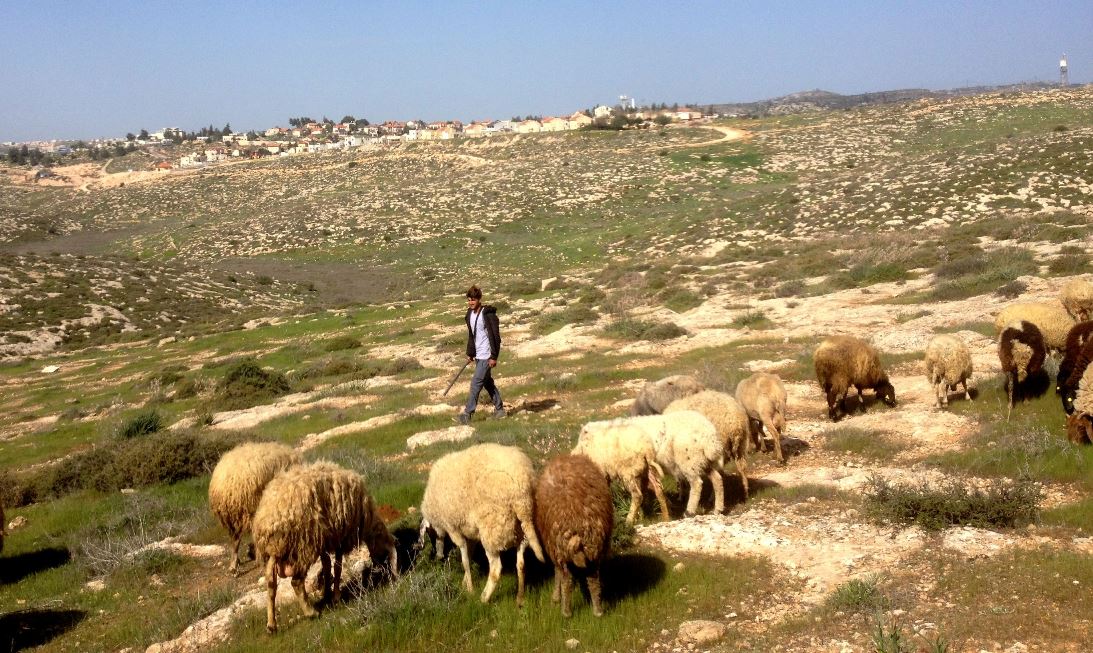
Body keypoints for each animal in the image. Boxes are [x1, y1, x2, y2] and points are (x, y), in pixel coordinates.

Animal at [205, 439, 297, 573]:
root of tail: (227, 484)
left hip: (231, 515)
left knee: (234, 538)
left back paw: (234, 564)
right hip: (250, 509)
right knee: (243, 537)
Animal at [415, 439, 544, 603]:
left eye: (430, 533)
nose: (439, 556)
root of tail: (521, 493)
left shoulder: (454, 529)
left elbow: (465, 560)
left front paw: (469, 589)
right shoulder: (470, 532)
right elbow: (469, 556)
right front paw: (465, 582)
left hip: (492, 529)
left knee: (496, 569)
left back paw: (483, 598)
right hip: (521, 530)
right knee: (521, 564)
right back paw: (519, 598)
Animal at [535, 452, 616, 616]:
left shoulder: (555, 548)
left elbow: (557, 573)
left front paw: (555, 598)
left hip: (561, 548)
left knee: (567, 579)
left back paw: (566, 612)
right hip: (593, 549)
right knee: (593, 580)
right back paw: (598, 611)